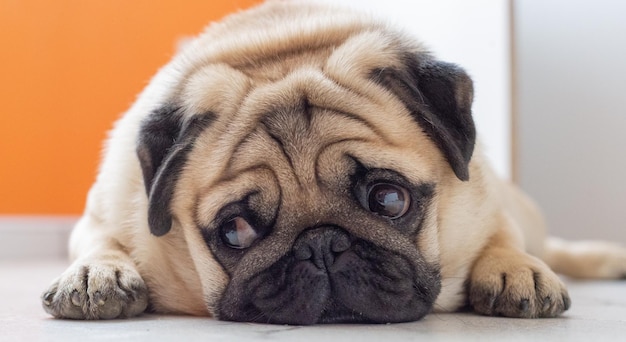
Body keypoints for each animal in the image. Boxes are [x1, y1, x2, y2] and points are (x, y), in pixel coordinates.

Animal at [41, 0, 620, 324]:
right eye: (235, 230)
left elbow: (502, 237)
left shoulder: (488, 203)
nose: (321, 244)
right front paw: (97, 274)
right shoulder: (103, 211)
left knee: (550, 244)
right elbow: (98, 241)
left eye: (389, 199)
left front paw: (513, 270)